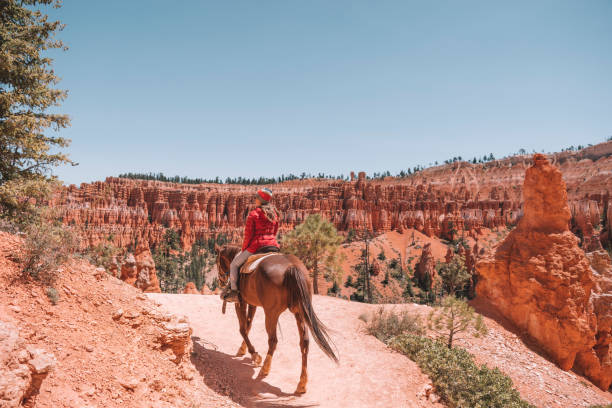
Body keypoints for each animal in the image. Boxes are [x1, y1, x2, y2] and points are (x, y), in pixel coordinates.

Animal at [216, 244, 340, 394]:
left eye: (217, 261)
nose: (221, 280)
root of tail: (291, 267)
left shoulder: (240, 302)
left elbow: (243, 329)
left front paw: (254, 355)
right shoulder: (252, 304)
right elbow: (248, 326)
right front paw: (243, 349)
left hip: (271, 313)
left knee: (273, 340)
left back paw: (265, 368)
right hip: (300, 312)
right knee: (304, 342)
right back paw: (302, 383)